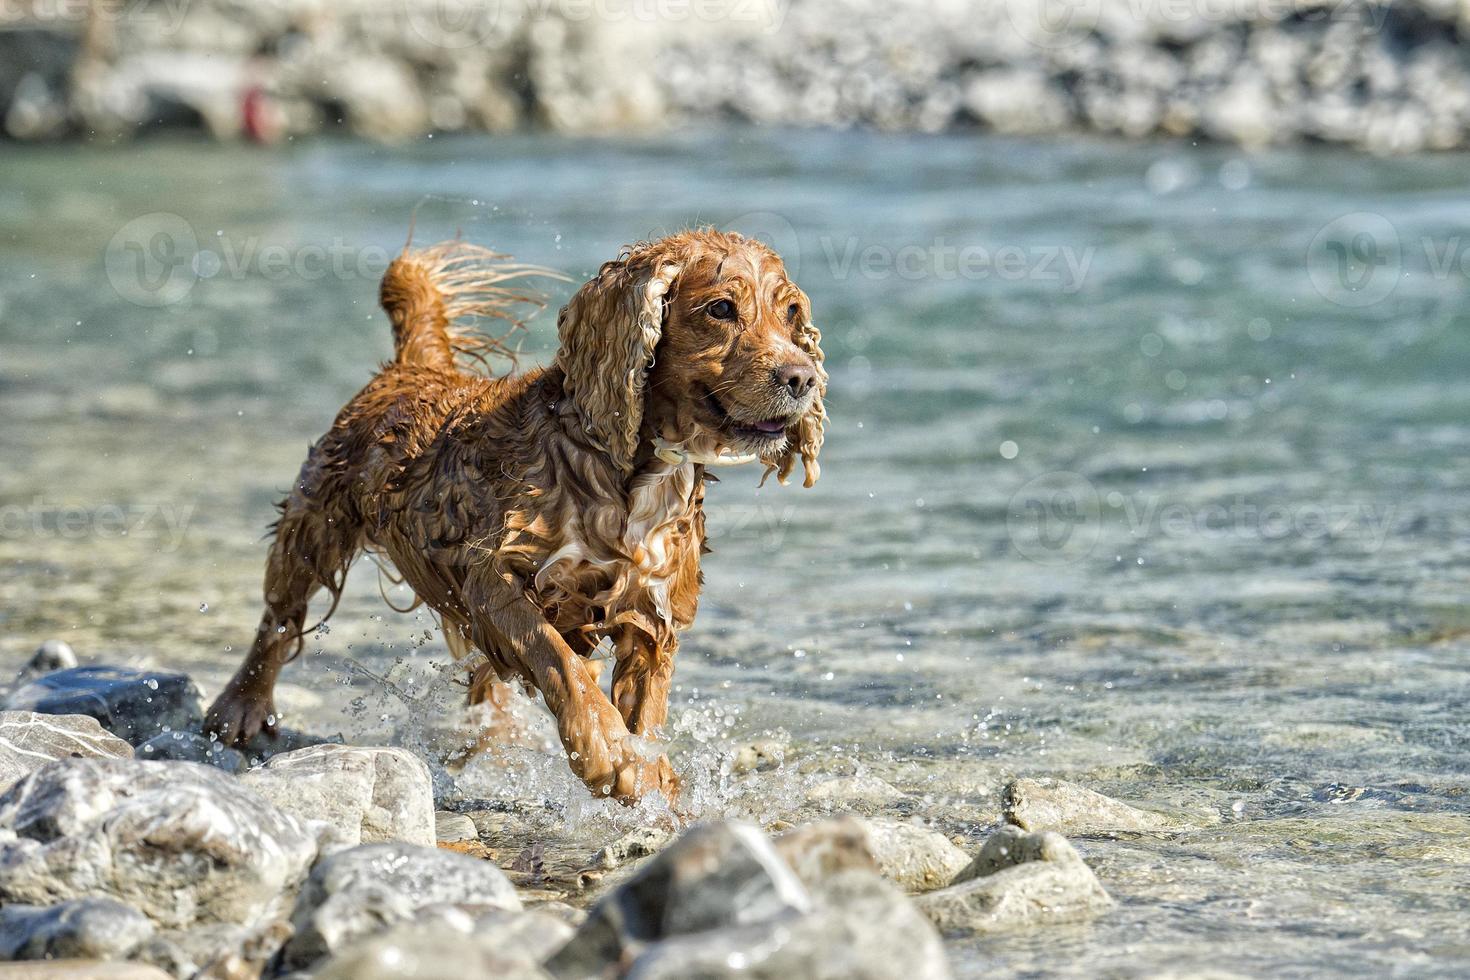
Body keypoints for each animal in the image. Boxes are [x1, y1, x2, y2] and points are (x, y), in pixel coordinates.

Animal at [204, 230, 829, 805]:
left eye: (791, 312)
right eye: (721, 308)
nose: (802, 378)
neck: (630, 476)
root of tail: (410, 367)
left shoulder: (654, 610)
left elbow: (647, 706)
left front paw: (650, 774)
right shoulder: (492, 578)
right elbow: (559, 660)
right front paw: (608, 752)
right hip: (314, 522)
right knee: (278, 619)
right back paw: (238, 708)